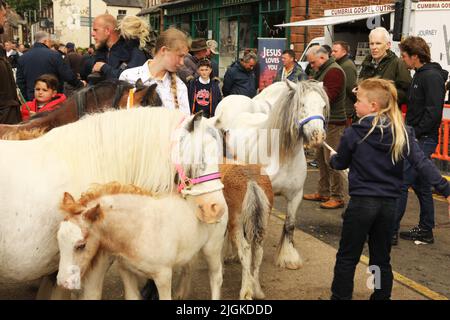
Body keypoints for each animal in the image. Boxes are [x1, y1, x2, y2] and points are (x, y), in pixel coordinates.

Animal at [56, 182, 229, 300]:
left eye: (81, 245)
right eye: (58, 241)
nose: (63, 283)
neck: (139, 230)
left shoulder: (163, 276)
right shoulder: (126, 271)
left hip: (212, 248)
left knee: (216, 277)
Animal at [213, 79, 328, 268]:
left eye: (323, 105)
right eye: (301, 105)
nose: (317, 137)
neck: (283, 156)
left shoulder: (296, 195)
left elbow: (290, 224)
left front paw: (288, 257)